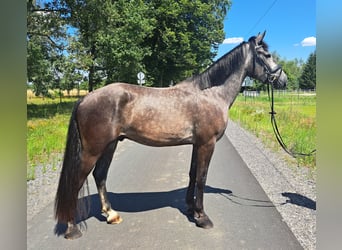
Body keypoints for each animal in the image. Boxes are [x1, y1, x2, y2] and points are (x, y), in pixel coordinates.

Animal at [54, 31, 288, 238]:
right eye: (267, 55)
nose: (283, 80)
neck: (211, 94)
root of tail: (85, 98)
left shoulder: (196, 144)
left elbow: (193, 174)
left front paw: (191, 209)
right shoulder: (207, 143)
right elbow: (202, 177)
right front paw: (202, 217)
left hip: (110, 145)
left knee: (100, 175)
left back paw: (111, 214)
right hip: (92, 150)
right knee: (76, 182)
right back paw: (72, 229)